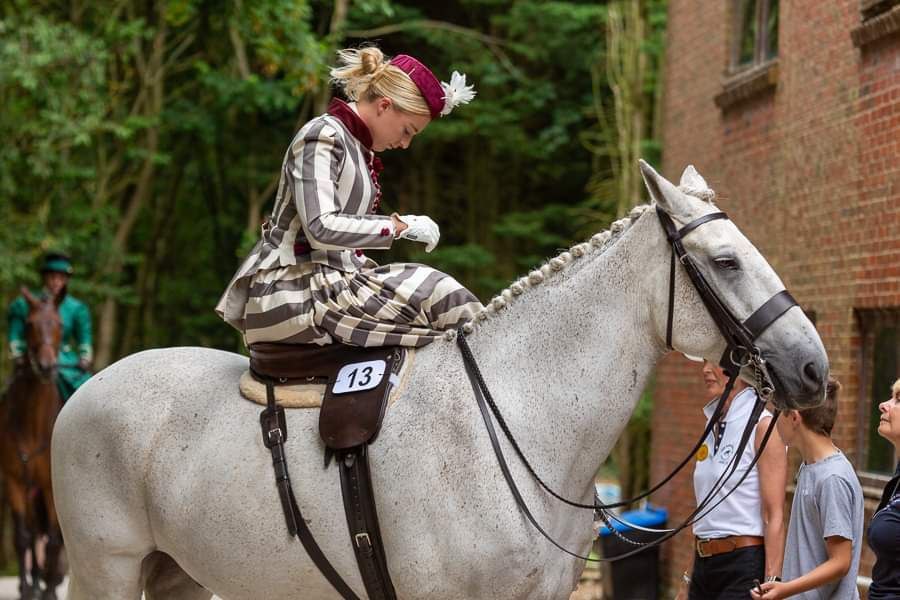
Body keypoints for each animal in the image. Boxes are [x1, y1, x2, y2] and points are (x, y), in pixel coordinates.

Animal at [52, 162, 828, 596]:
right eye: (726, 261)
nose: (813, 367)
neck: (519, 423)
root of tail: (86, 393)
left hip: (180, 574)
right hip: (106, 570)